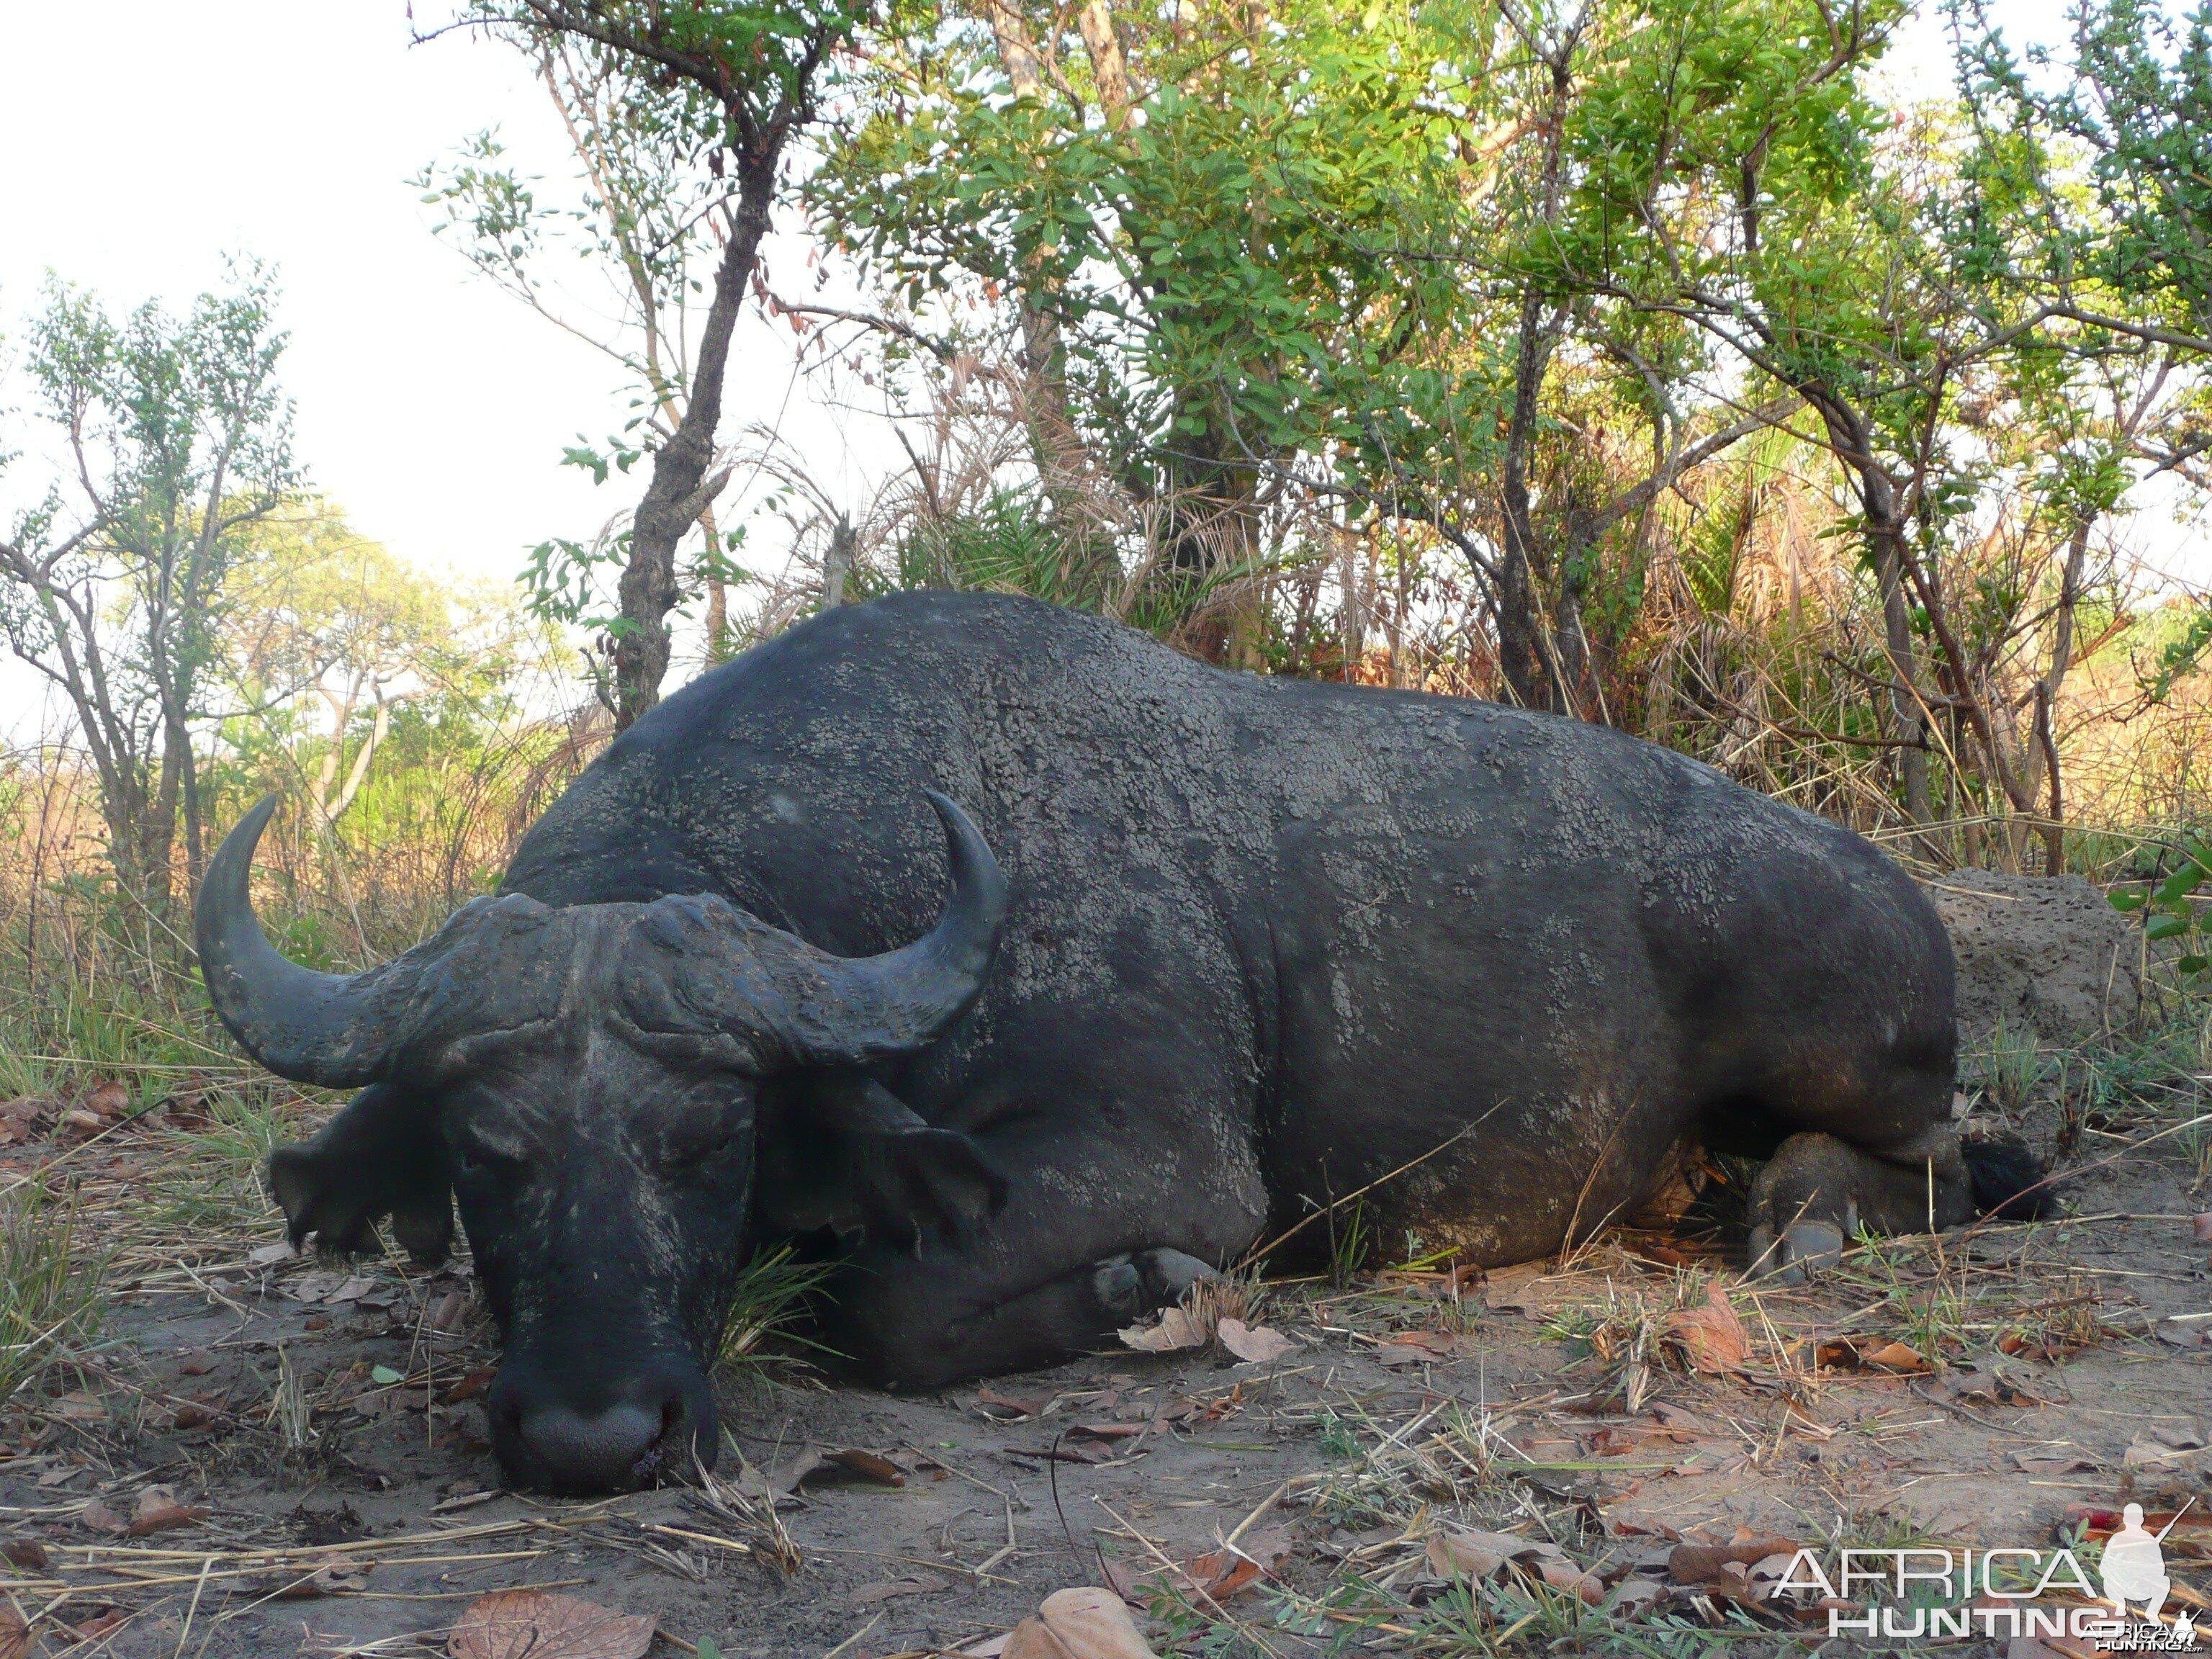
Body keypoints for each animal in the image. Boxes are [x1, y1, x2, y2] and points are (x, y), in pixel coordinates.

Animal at [199, 593, 2044, 1495]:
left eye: (709, 1142)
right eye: (482, 1155)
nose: (593, 1439)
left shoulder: (1159, 1159)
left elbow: (886, 1303)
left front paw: (1141, 1291)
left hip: (1848, 1043)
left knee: (1963, 1159)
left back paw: (1806, 1216)